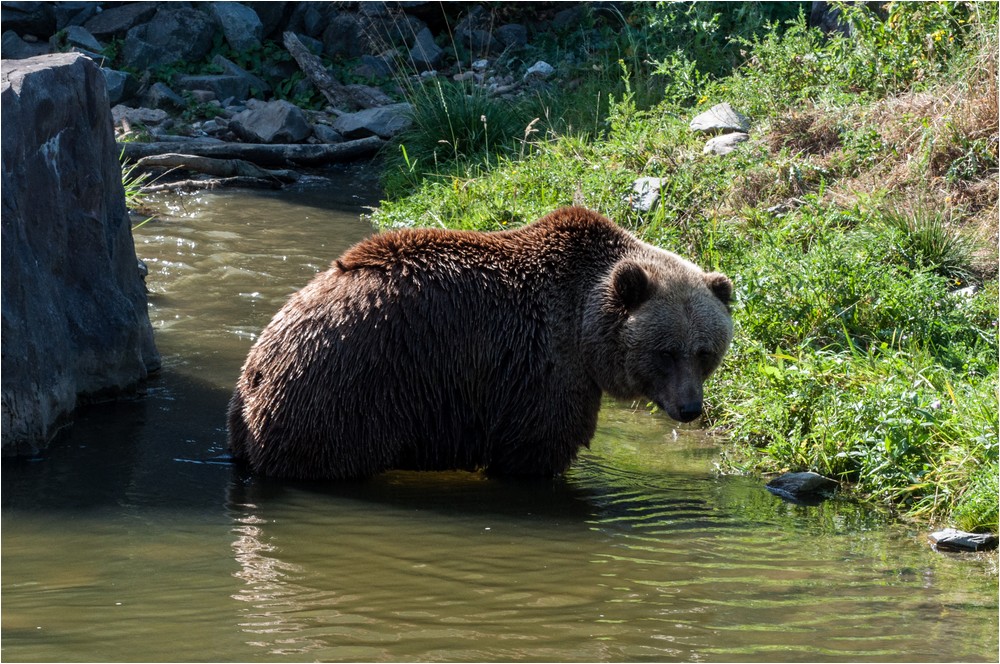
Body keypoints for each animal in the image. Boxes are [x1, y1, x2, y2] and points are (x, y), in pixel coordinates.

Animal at [232, 206, 736, 478]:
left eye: (705, 353)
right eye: (665, 352)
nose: (690, 408)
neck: (582, 325)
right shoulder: (541, 371)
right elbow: (536, 449)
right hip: (349, 397)